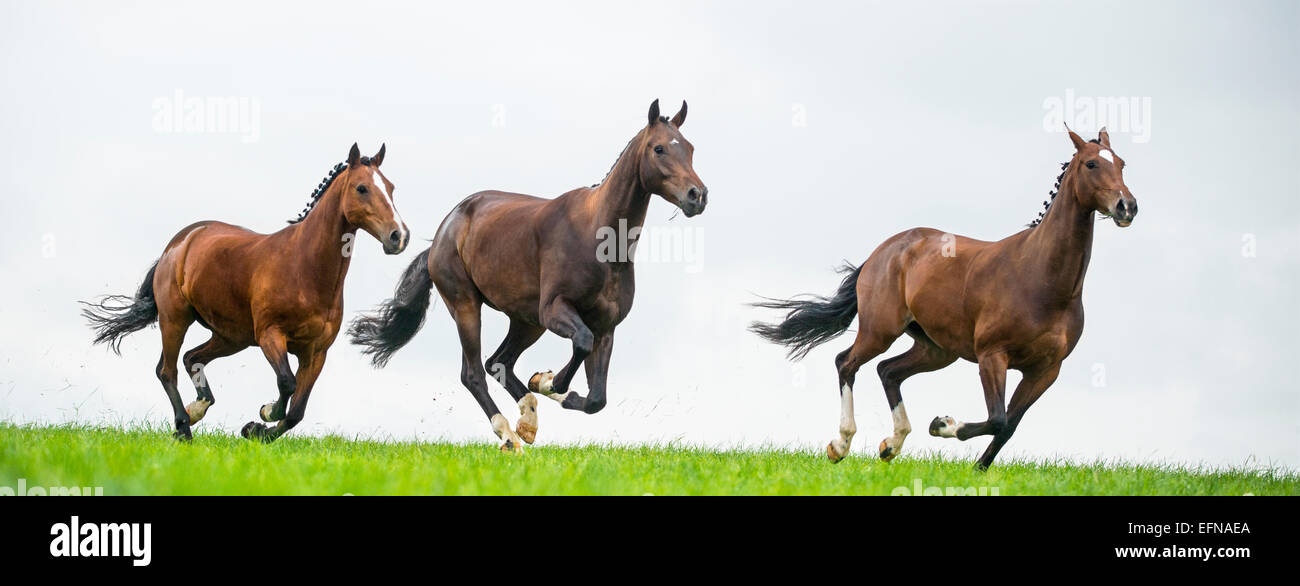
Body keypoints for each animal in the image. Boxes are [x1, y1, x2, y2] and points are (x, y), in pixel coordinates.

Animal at [83, 144, 408, 441]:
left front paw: (256, 430)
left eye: (391, 188)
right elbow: (287, 384)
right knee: (167, 370)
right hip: (175, 319)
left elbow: (297, 410)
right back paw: (184, 427)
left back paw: (196, 409)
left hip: (231, 337)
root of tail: (178, 244)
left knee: (190, 358)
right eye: (362, 188)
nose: (399, 236)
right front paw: (266, 413)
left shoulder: (316, 352)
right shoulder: (270, 335)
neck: (304, 268)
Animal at [351, 100, 707, 452]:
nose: (697, 195)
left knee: (499, 362)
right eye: (659, 148)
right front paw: (552, 383)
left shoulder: (606, 326)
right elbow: (581, 343)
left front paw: (551, 387)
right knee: (474, 373)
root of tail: (440, 236)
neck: (599, 238)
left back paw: (528, 419)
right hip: (468, 306)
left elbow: (597, 399)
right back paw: (509, 434)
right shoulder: (555, 310)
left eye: (689, 148)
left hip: (526, 321)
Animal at [754, 129, 1138, 472]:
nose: (1127, 207)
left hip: (937, 349)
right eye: (1091, 163)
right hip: (880, 331)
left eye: (1121, 163)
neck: (1041, 280)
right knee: (846, 363)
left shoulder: (1045, 370)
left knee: (888, 370)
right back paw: (841, 444)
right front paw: (942, 424)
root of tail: (884, 250)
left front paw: (977, 468)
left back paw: (891, 444)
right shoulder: (992, 356)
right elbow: (997, 418)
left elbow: (1009, 425)